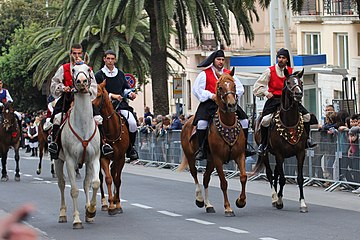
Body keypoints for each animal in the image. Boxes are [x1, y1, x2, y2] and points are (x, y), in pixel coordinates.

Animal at [55, 62, 102, 230]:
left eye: (89, 69)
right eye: (73, 69)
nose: (82, 81)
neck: (83, 125)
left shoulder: (94, 158)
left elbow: (95, 183)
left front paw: (91, 211)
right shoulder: (70, 161)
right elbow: (74, 190)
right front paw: (77, 220)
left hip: (87, 162)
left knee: (86, 184)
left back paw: (88, 213)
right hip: (58, 160)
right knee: (62, 184)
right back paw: (62, 214)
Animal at [92, 81, 130, 215]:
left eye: (98, 95)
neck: (112, 131)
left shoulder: (120, 158)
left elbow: (117, 179)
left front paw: (117, 204)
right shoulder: (104, 157)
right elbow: (108, 179)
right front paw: (111, 206)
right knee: (100, 177)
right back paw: (104, 203)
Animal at [178, 68, 248, 217]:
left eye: (234, 85)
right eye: (220, 87)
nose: (232, 105)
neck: (227, 123)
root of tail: (186, 121)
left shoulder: (240, 155)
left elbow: (243, 177)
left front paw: (241, 201)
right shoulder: (218, 158)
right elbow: (223, 183)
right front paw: (228, 208)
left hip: (210, 161)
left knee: (205, 178)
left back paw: (208, 205)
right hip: (193, 157)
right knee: (195, 174)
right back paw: (200, 199)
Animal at [252, 68, 308, 213]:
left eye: (300, 82)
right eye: (288, 82)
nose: (298, 94)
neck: (290, 121)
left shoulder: (300, 153)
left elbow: (299, 178)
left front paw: (302, 204)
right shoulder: (279, 154)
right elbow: (282, 178)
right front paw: (279, 201)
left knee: (276, 174)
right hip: (266, 154)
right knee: (270, 174)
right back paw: (274, 198)